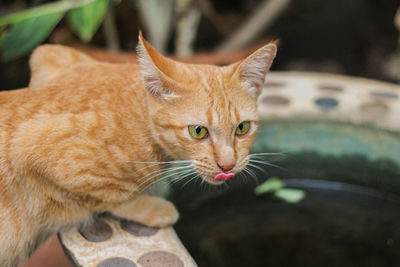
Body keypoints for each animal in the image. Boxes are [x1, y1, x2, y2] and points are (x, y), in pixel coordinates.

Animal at [0, 31, 276, 266]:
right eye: (198, 131)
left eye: (242, 128)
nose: (228, 165)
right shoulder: (33, 146)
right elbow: (113, 195)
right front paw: (153, 207)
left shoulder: (48, 55)